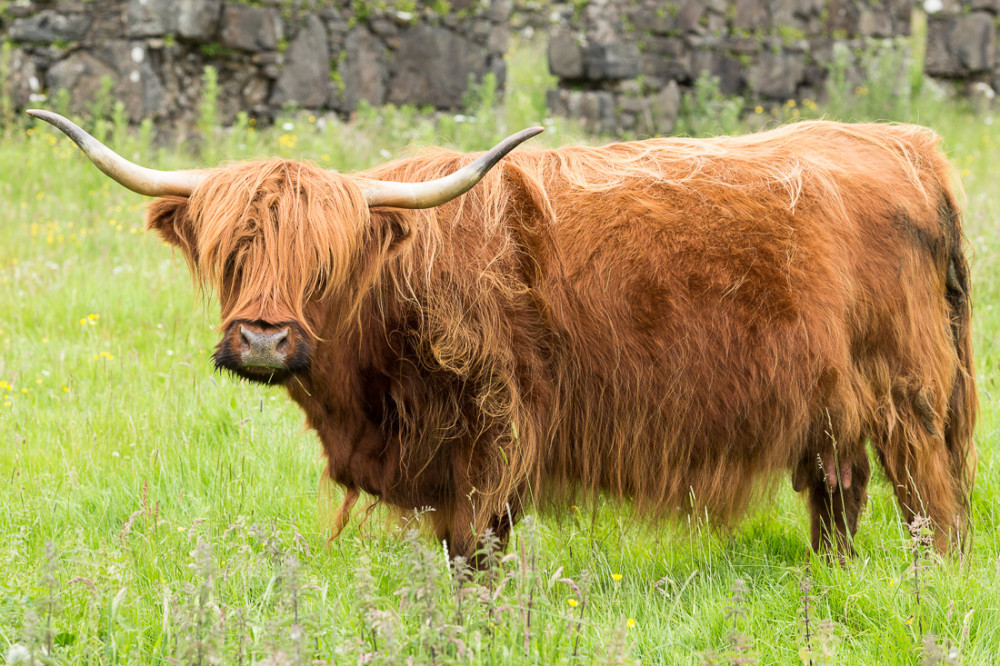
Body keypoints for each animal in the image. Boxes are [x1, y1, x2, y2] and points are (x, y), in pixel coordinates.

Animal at [30, 109, 976, 561]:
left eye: (325, 264)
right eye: (233, 254)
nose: (264, 340)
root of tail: (905, 142)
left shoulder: (494, 432)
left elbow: (473, 549)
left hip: (913, 398)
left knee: (933, 506)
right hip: (833, 409)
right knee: (840, 497)